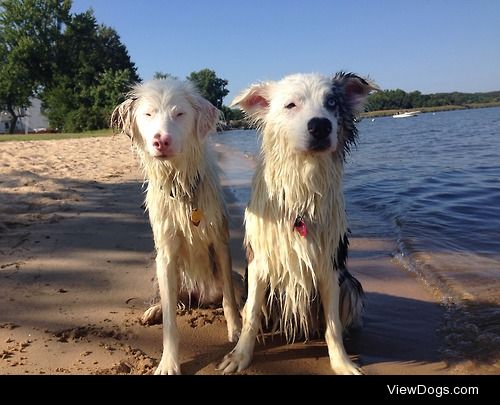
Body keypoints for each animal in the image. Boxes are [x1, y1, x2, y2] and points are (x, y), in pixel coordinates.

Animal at [110, 77, 242, 374]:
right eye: (148, 115)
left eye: (179, 114)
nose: (161, 140)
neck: (180, 187)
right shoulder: (167, 254)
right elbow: (171, 320)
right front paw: (168, 362)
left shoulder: (220, 241)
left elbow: (229, 297)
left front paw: (236, 330)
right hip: (160, 271)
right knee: (169, 297)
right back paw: (154, 310)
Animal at [217, 71, 376, 374]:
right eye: (291, 105)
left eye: (332, 103)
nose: (321, 126)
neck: (302, 185)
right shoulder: (259, 262)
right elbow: (251, 314)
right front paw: (239, 357)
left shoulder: (328, 266)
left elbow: (333, 325)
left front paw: (342, 363)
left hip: (350, 285)